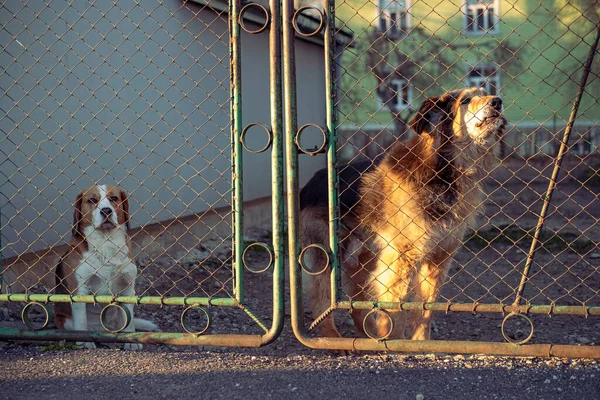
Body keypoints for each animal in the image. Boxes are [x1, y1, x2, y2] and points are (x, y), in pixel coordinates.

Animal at [54, 185, 157, 350]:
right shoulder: (79, 290)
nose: (106, 211)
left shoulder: (127, 287)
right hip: (65, 321)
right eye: (92, 200)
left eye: (114, 198)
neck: (105, 243)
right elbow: (81, 321)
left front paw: (131, 341)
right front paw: (84, 342)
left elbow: (128, 319)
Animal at [300, 87, 506, 340]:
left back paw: (367, 335)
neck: (444, 170)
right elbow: (396, 312)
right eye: (466, 100)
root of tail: (311, 182)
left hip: (364, 257)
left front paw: (420, 343)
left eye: (486, 92)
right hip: (327, 256)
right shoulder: (400, 258)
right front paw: (393, 341)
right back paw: (332, 336)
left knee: (356, 301)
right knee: (320, 297)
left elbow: (425, 311)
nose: (498, 102)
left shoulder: (438, 258)